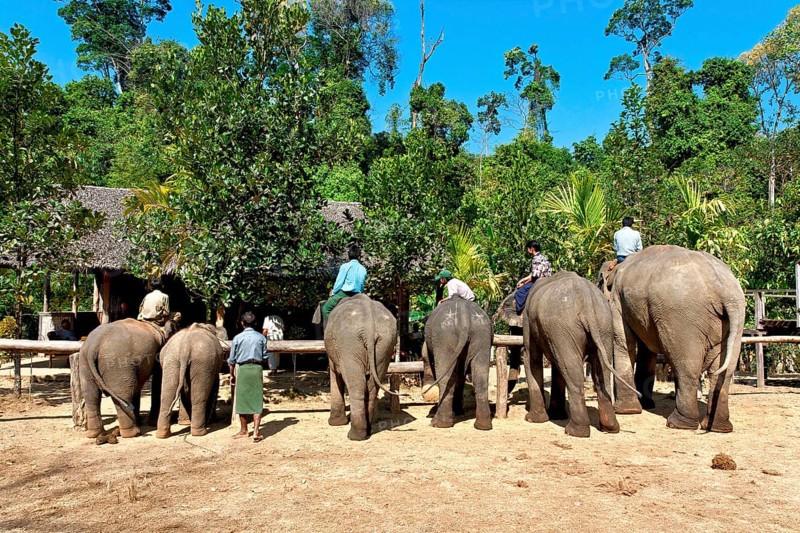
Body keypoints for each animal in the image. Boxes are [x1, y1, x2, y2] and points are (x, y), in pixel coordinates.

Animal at [324, 294, 396, 441]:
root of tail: (370, 325)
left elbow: (335, 374)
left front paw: (335, 423)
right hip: (385, 343)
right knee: (373, 386)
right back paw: (367, 430)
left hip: (348, 343)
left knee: (357, 384)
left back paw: (355, 435)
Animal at [424, 296, 493, 431]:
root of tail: (464, 314)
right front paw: (459, 411)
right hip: (482, 334)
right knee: (480, 376)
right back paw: (483, 426)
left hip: (443, 337)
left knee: (445, 377)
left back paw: (438, 424)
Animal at [521, 271, 638, 437]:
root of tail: (587, 300)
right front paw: (556, 415)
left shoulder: (528, 320)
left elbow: (531, 357)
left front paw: (532, 419)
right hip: (603, 325)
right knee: (600, 371)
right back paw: (610, 428)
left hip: (564, 326)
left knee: (572, 371)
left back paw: (574, 431)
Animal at [598, 245, 745, 432]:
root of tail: (723, 289)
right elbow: (646, 351)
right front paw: (645, 405)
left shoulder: (618, 300)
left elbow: (624, 342)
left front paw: (626, 411)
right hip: (735, 320)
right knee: (722, 372)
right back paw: (718, 427)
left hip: (683, 318)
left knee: (687, 367)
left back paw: (678, 423)